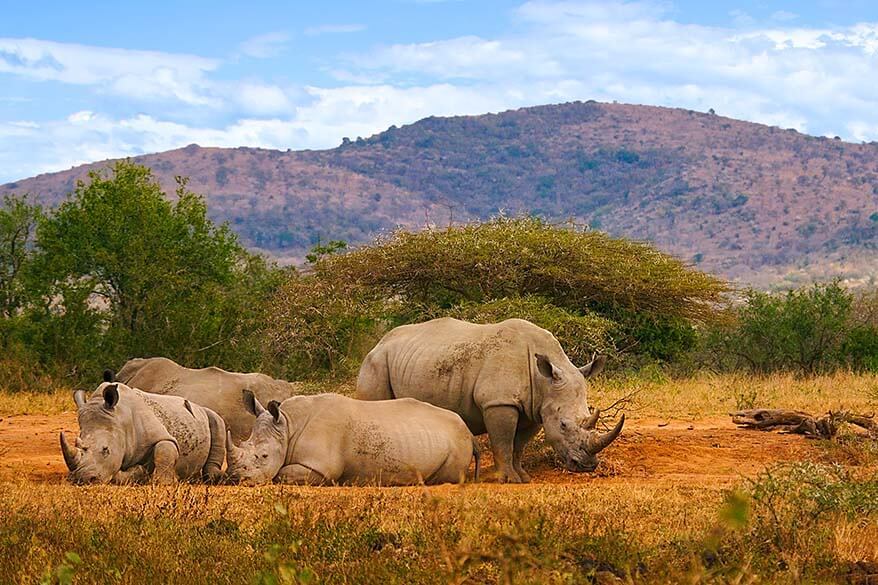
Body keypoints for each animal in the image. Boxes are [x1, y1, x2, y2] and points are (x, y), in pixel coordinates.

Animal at [60, 374, 227, 484]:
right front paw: (140, 471)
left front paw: (164, 482)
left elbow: (164, 450)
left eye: (105, 450)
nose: (85, 479)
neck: (121, 419)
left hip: (208, 413)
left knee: (217, 421)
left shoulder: (161, 435)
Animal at [223, 390, 478, 486]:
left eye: (264, 455)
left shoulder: (321, 466)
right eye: (243, 444)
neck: (287, 425)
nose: (234, 478)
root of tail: (469, 431)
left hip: (457, 441)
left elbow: (283, 474)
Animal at [358, 318, 624, 482]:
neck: (543, 381)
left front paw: (523, 478)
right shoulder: (498, 402)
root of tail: (378, 342)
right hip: (376, 362)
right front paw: (507, 480)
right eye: (563, 425)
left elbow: (518, 446)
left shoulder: (535, 409)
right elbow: (503, 442)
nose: (587, 466)